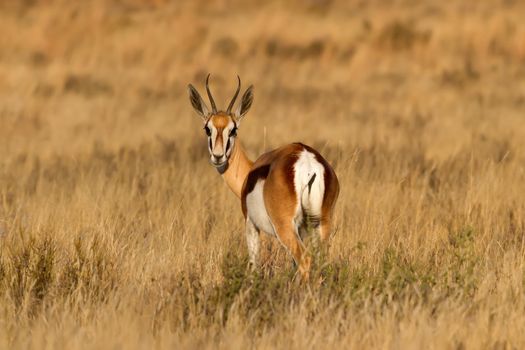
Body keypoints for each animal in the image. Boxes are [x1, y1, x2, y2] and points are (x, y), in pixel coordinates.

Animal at [188, 74, 340, 278]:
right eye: (207, 128)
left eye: (233, 129)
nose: (218, 156)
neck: (250, 171)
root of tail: (307, 162)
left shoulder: (250, 224)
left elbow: (254, 265)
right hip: (322, 225)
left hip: (285, 228)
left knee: (305, 260)